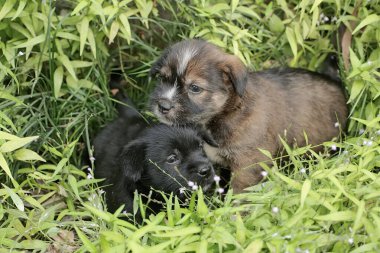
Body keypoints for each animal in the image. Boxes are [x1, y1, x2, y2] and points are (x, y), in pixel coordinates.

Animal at [148, 39, 348, 193]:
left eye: (195, 88)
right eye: (163, 78)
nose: (163, 105)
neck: (226, 113)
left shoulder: (249, 164)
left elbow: (240, 194)